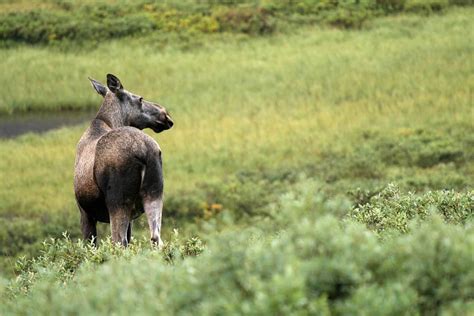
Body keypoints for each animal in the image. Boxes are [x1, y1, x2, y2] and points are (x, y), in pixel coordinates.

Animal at [75, 74, 175, 247]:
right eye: (140, 98)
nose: (165, 115)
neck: (110, 121)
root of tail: (143, 150)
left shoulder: (85, 212)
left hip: (117, 201)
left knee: (119, 242)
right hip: (155, 192)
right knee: (156, 238)